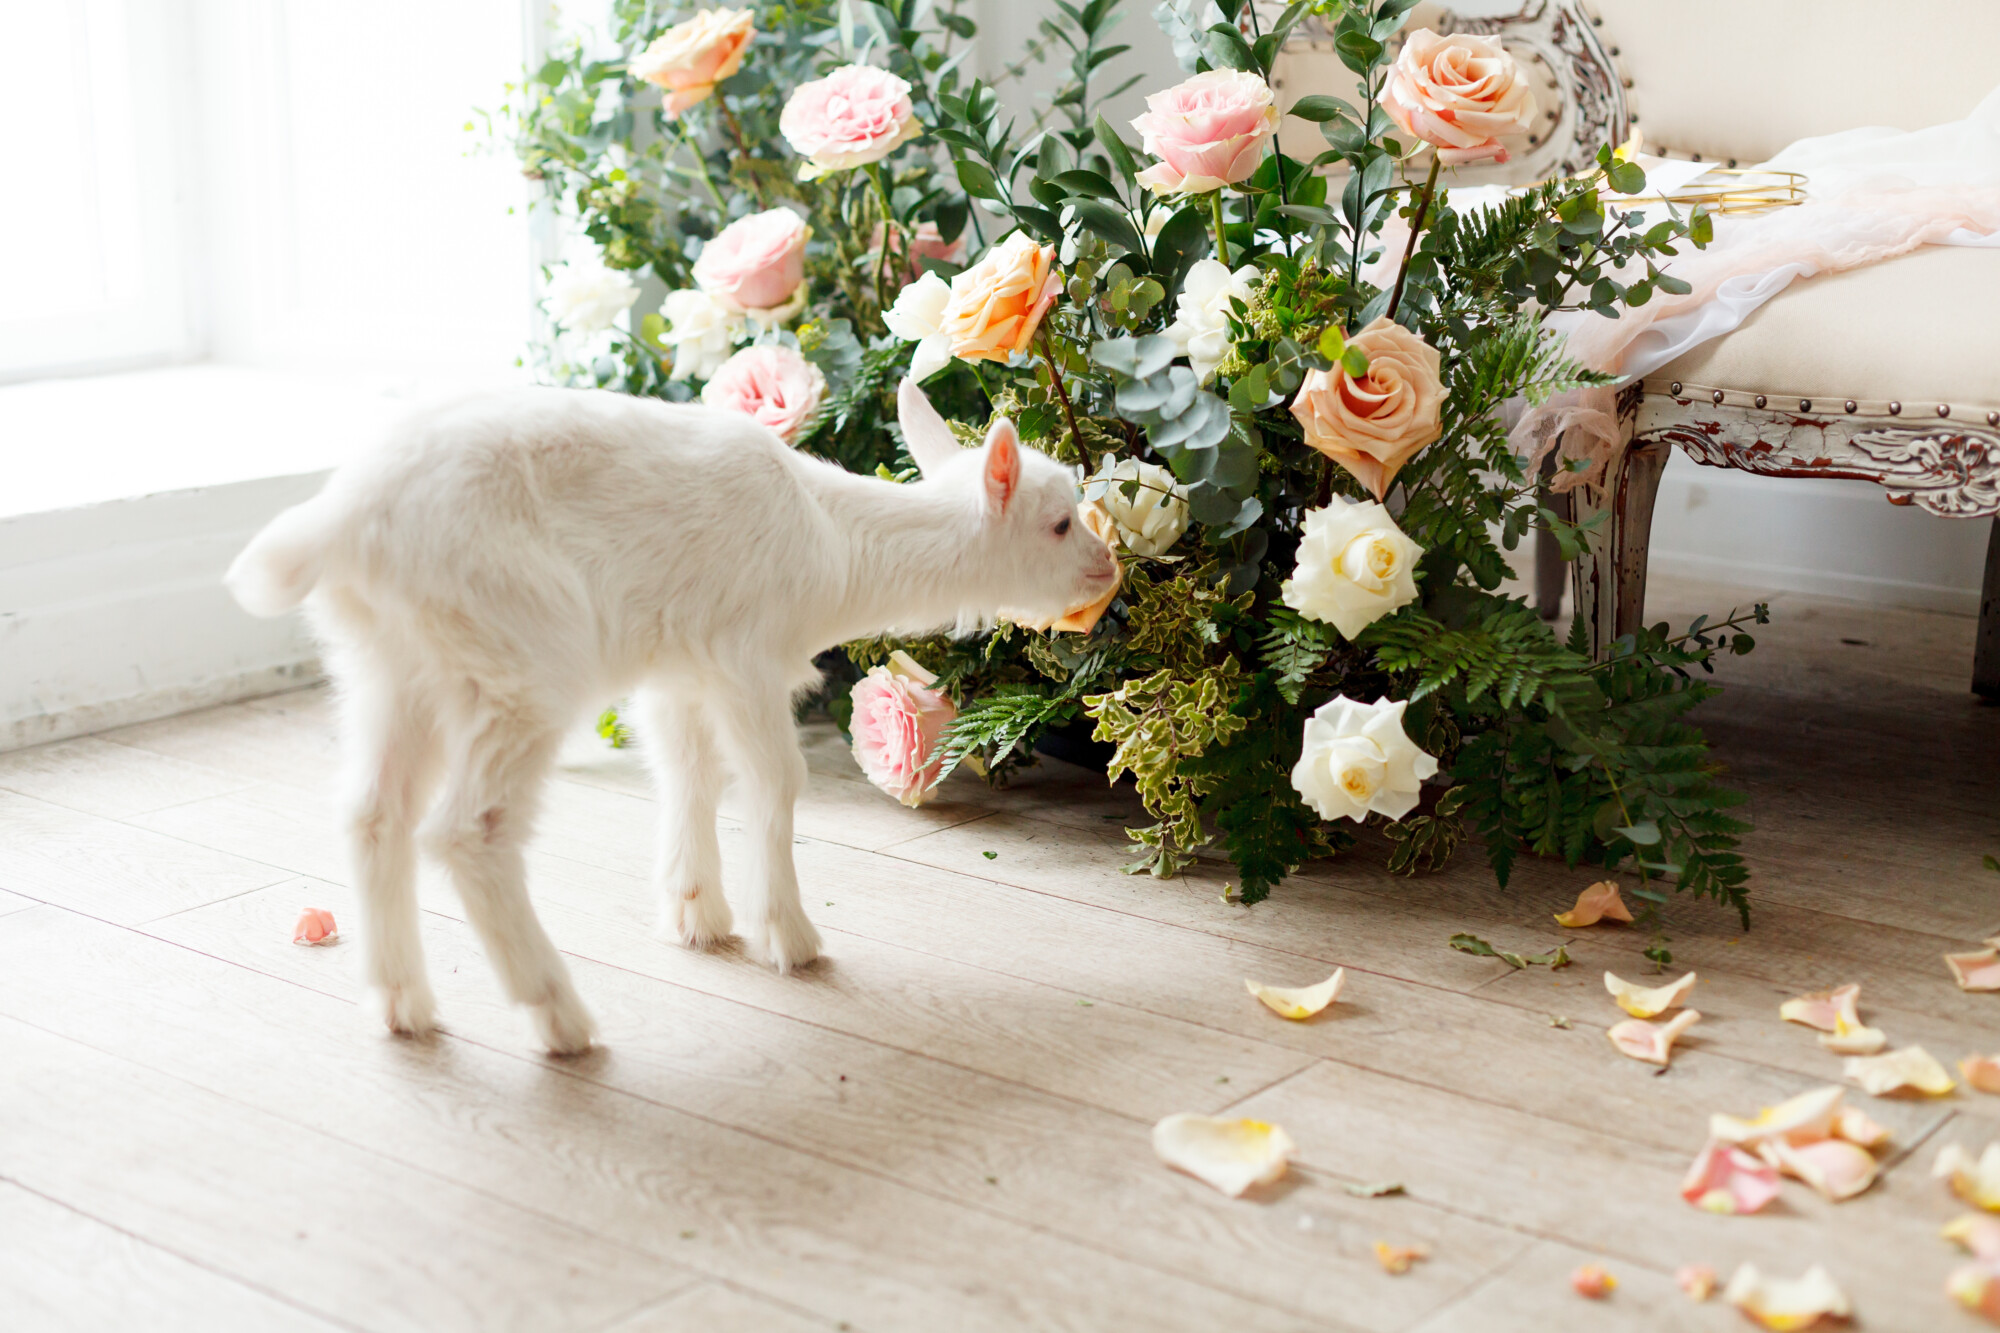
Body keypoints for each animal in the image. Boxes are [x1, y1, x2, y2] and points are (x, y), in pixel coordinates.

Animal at [230, 378, 1128, 1056]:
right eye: (1058, 523)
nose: (1111, 567)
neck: (833, 542)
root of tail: (341, 527)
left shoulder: (680, 669)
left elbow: (687, 774)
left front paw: (698, 916)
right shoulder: (747, 654)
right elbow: (774, 782)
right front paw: (788, 937)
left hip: (391, 663)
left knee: (371, 815)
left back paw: (401, 1005)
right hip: (520, 658)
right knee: (465, 831)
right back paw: (558, 1016)